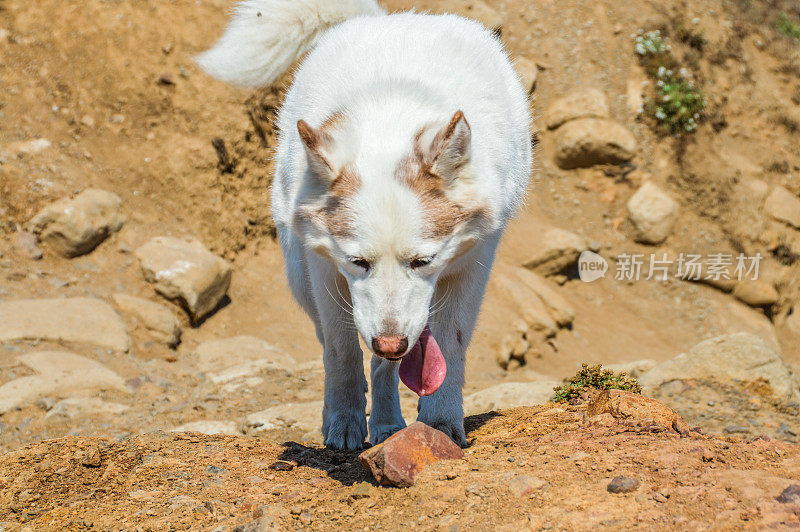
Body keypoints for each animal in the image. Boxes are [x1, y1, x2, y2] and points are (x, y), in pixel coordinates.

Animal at [198, 0, 532, 448]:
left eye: (423, 262)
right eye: (358, 262)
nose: (391, 342)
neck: (391, 117)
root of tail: (387, 19)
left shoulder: (473, 265)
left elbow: (451, 345)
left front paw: (441, 423)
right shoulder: (325, 269)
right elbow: (341, 352)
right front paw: (344, 424)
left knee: (386, 364)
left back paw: (389, 425)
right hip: (301, 281)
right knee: (341, 346)